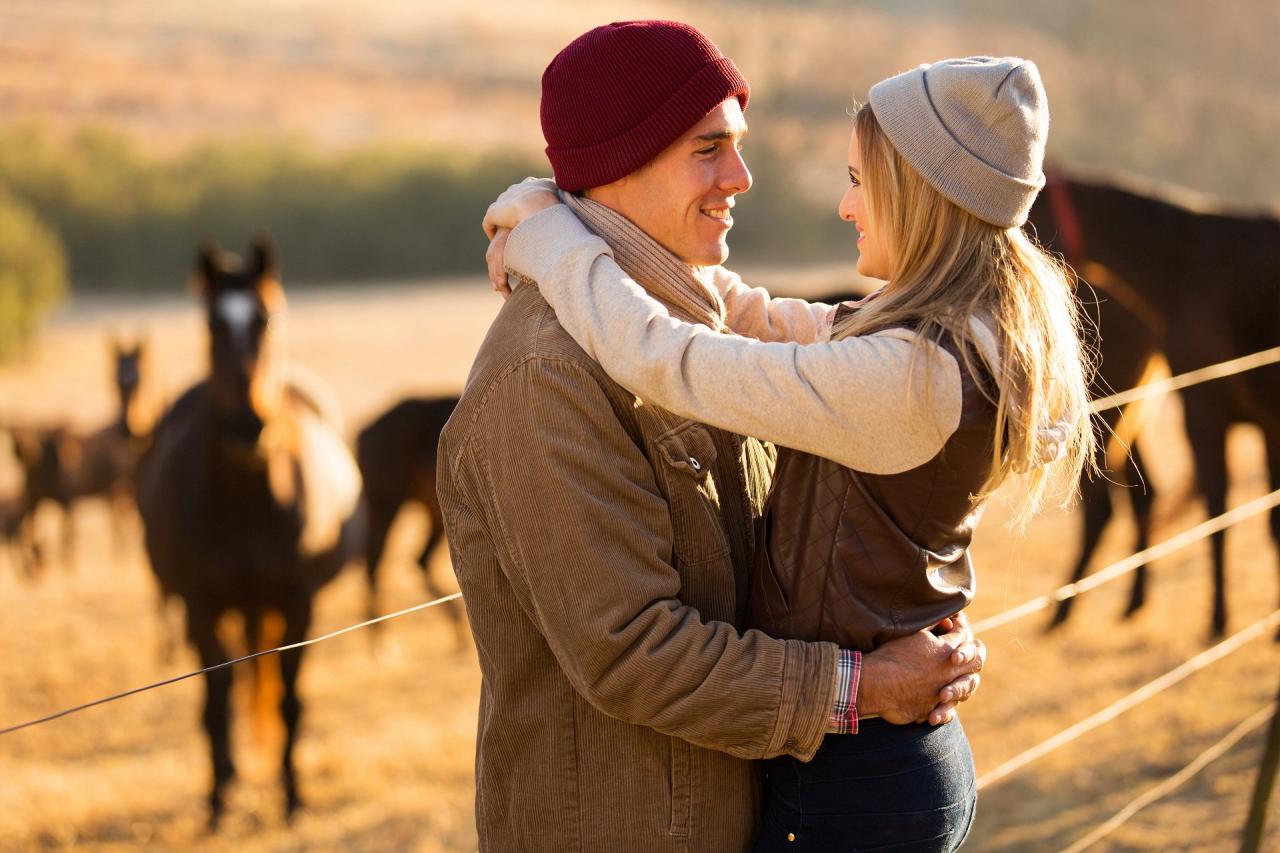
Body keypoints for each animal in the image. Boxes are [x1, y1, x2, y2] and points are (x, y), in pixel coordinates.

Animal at [136, 236, 366, 824]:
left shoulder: (297, 602)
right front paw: (219, 799)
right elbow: (216, 699)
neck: (247, 498)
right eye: (211, 323)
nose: (247, 426)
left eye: (267, 318)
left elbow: (288, 696)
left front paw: (292, 796)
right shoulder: (201, 607)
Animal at [353, 394, 468, 648]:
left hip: (433, 515)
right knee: (375, 561)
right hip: (386, 504)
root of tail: (365, 431)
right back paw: (381, 642)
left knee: (419, 560)